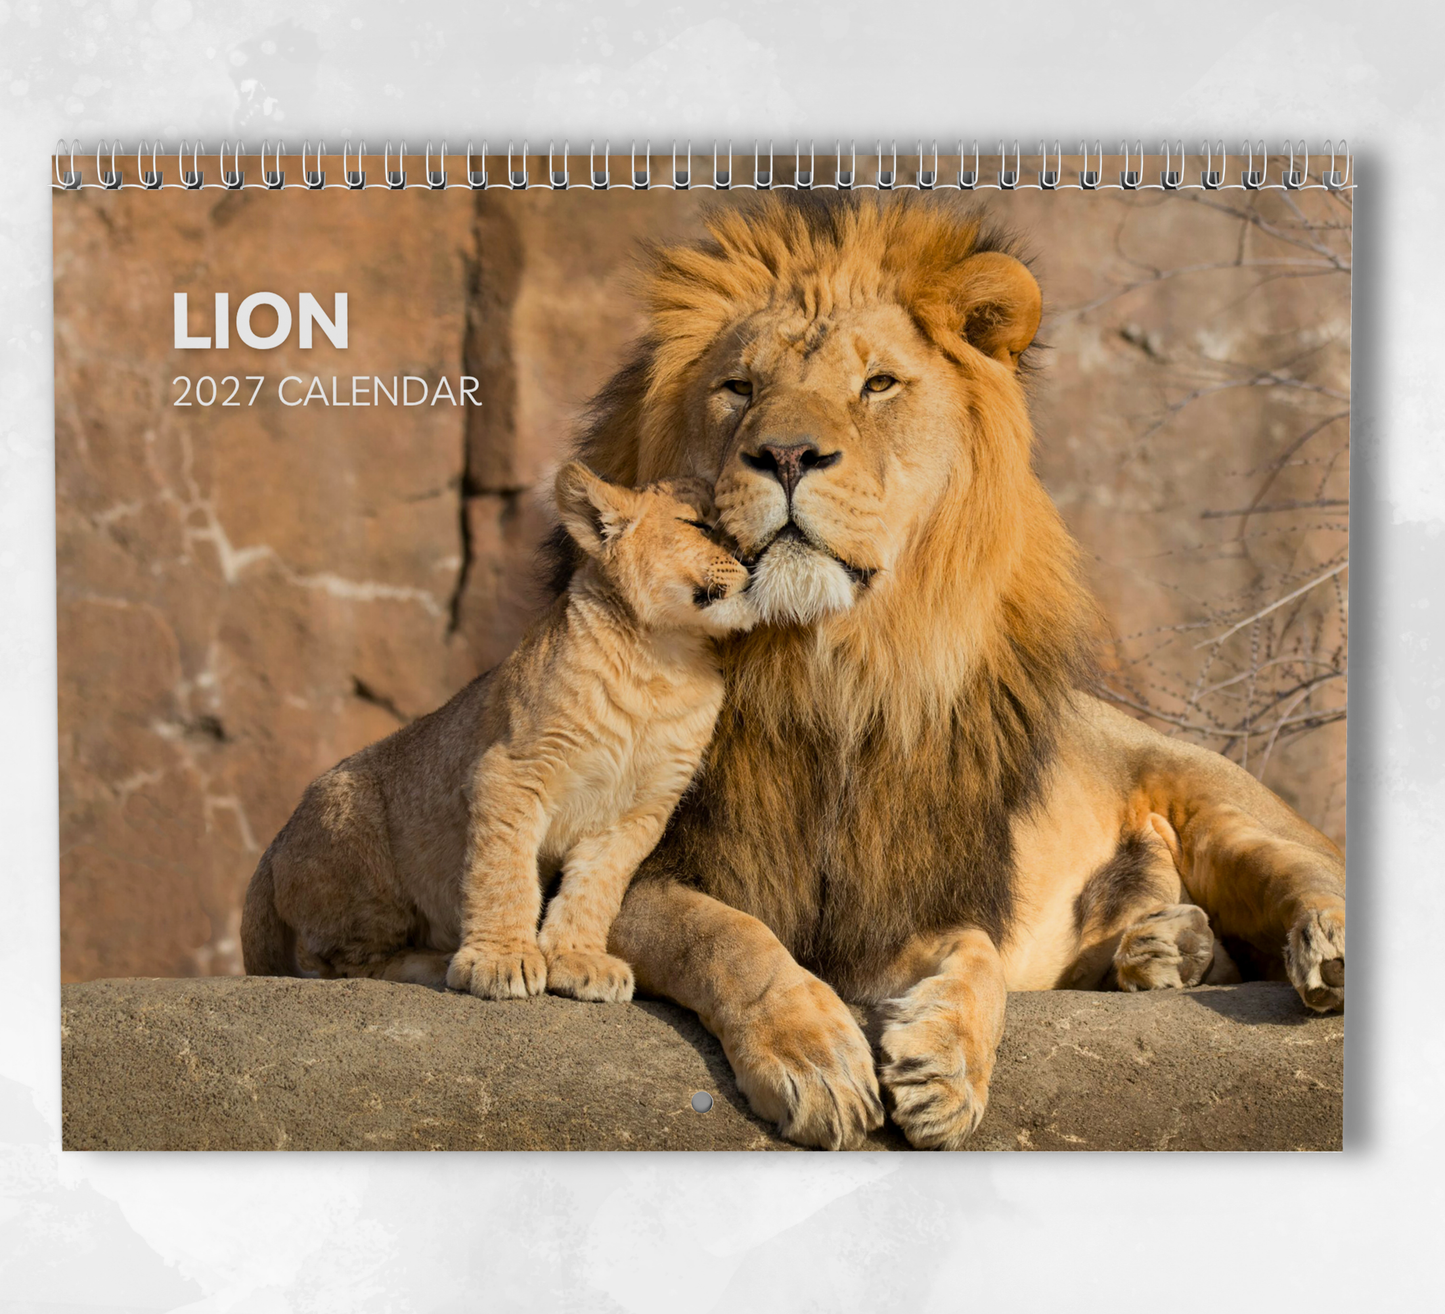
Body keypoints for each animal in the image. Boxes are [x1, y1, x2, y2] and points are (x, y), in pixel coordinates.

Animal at [559, 192, 1347, 1151]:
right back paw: (1160, 949)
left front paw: (945, 1070)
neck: (826, 670)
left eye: (876, 385)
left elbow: (975, 955)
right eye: (738, 388)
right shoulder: (623, 871)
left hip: (1217, 803)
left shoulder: (906, 898)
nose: (784, 455)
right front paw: (816, 1059)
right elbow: (726, 935)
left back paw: (1310, 948)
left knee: (1303, 871)